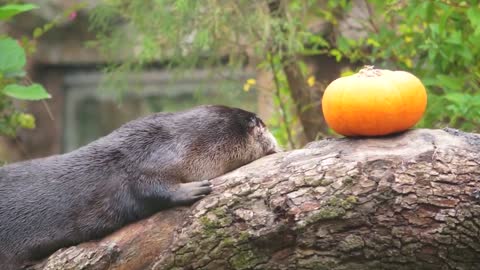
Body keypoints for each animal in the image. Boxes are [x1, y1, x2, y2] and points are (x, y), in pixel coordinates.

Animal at [0, 104, 280, 268]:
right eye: (262, 126)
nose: (275, 141)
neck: (184, 143)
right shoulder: (146, 161)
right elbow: (146, 187)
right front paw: (193, 189)